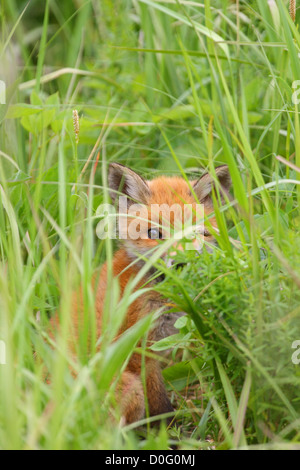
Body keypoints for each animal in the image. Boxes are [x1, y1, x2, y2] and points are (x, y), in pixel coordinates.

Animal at [50, 164, 231, 426]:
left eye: (199, 233)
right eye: (154, 233)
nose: (180, 263)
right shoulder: (138, 347)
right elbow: (158, 401)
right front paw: (167, 428)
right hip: (127, 387)